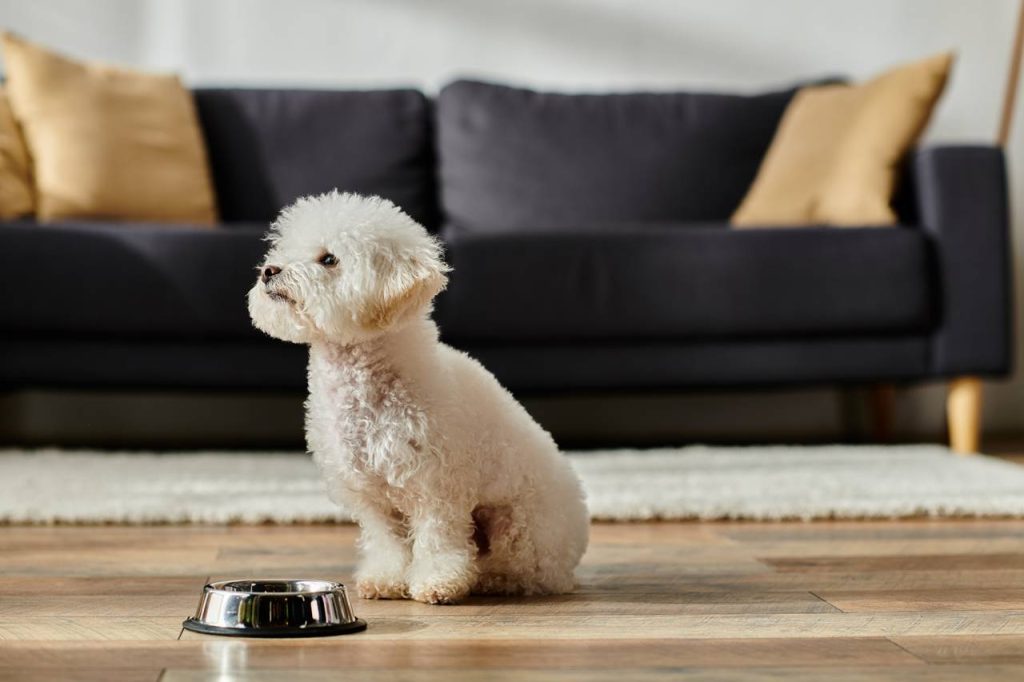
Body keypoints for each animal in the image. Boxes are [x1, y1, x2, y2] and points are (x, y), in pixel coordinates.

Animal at [246, 189, 593, 602]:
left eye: (329, 259)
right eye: (281, 248)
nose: (269, 271)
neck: (368, 385)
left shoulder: (436, 485)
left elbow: (437, 538)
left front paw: (438, 582)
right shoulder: (370, 494)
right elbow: (387, 541)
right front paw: (386, 579)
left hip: (520, 524)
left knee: (526, 569)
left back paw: (492, 577)